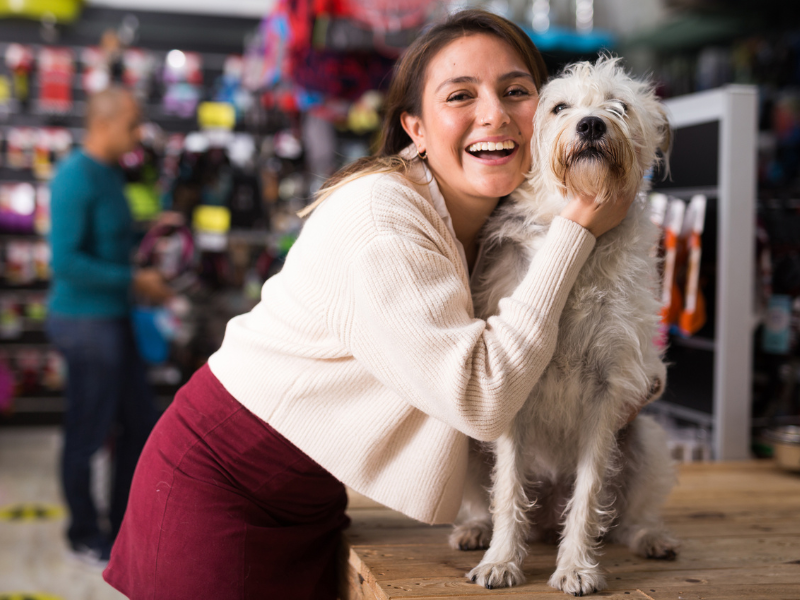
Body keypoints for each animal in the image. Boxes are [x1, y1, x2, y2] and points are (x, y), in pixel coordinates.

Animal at [454, 56, 680, 596]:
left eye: (619, 105)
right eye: (559, 107)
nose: (592, 125)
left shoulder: (609, 389)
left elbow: (589, 491)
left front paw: (576, 566)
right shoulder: (509, 389)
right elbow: (507, 488)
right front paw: (500, 560)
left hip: (647, 439)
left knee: (627, 518)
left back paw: (651, 538)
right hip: (469, 441)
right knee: (487, 497)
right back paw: (475, 530)